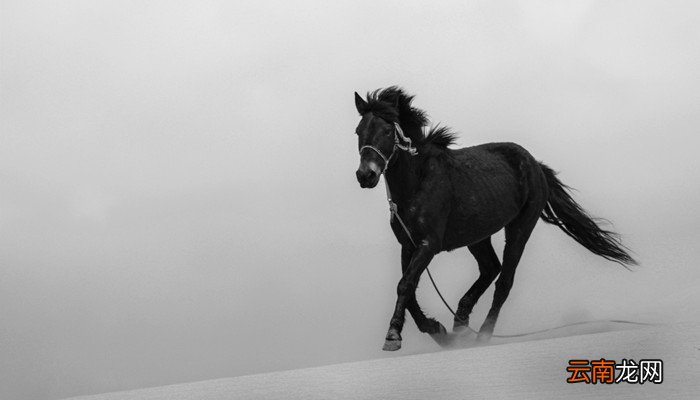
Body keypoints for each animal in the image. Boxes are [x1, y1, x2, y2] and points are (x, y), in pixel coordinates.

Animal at [352, 87, 636, 351]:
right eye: (358, 131)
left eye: (387, 131)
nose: (366, 175)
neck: (418, 181)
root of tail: (536, 165)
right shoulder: (408, 245)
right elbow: (408, 290)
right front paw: (437, 331)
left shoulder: (428, 244)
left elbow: (405, 285)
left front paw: (393, 336)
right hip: (477, 235)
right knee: (491, 268)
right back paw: (460, 323)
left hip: (519, 229)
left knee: (504, 282)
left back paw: (482, 336)